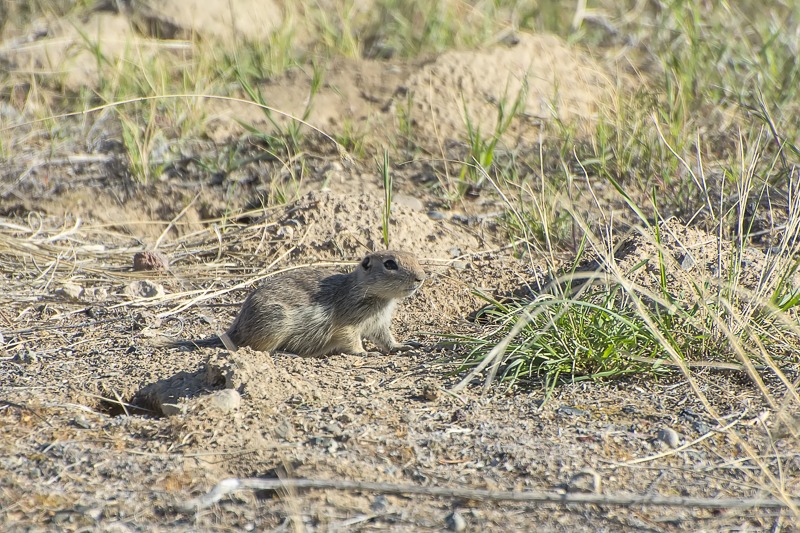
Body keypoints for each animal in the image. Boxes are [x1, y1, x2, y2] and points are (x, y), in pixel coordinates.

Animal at [167, 250, 425, 357]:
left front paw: (404, 346)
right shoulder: (348, 323)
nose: (421, 277)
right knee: (259, 349)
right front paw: (365, 354)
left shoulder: (379, 325)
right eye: (390, 264)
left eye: (414, 256)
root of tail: (235, 330)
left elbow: (387, 340)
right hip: (275, 325)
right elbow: (351, 341)